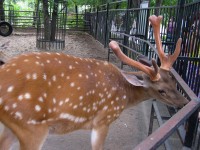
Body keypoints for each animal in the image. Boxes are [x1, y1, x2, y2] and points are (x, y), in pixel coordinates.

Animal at [0, 15, 189, 150]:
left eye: (173, 81)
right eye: (161, 90)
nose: (185, 102)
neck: (125, 95)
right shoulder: (104, 118)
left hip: (12, 127)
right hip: (31, 126)